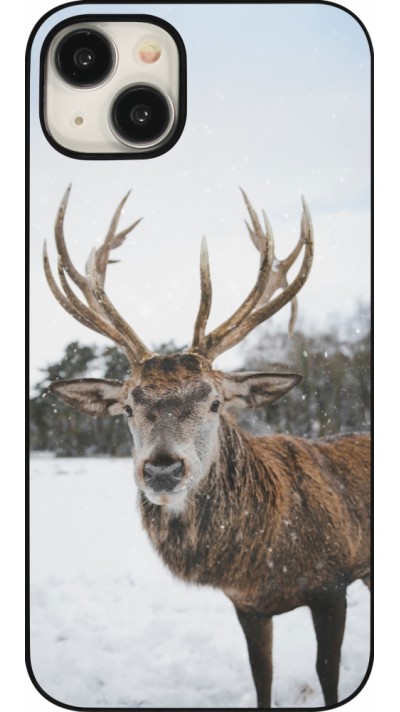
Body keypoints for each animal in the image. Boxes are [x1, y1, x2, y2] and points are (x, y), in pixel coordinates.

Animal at [42, 186, 370, 708]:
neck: (265, 558)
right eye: (129, 406)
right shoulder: (247, 604)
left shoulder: (332, 582)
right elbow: (262, 676)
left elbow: (328, 674)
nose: (162, 470)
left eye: (215, 402)